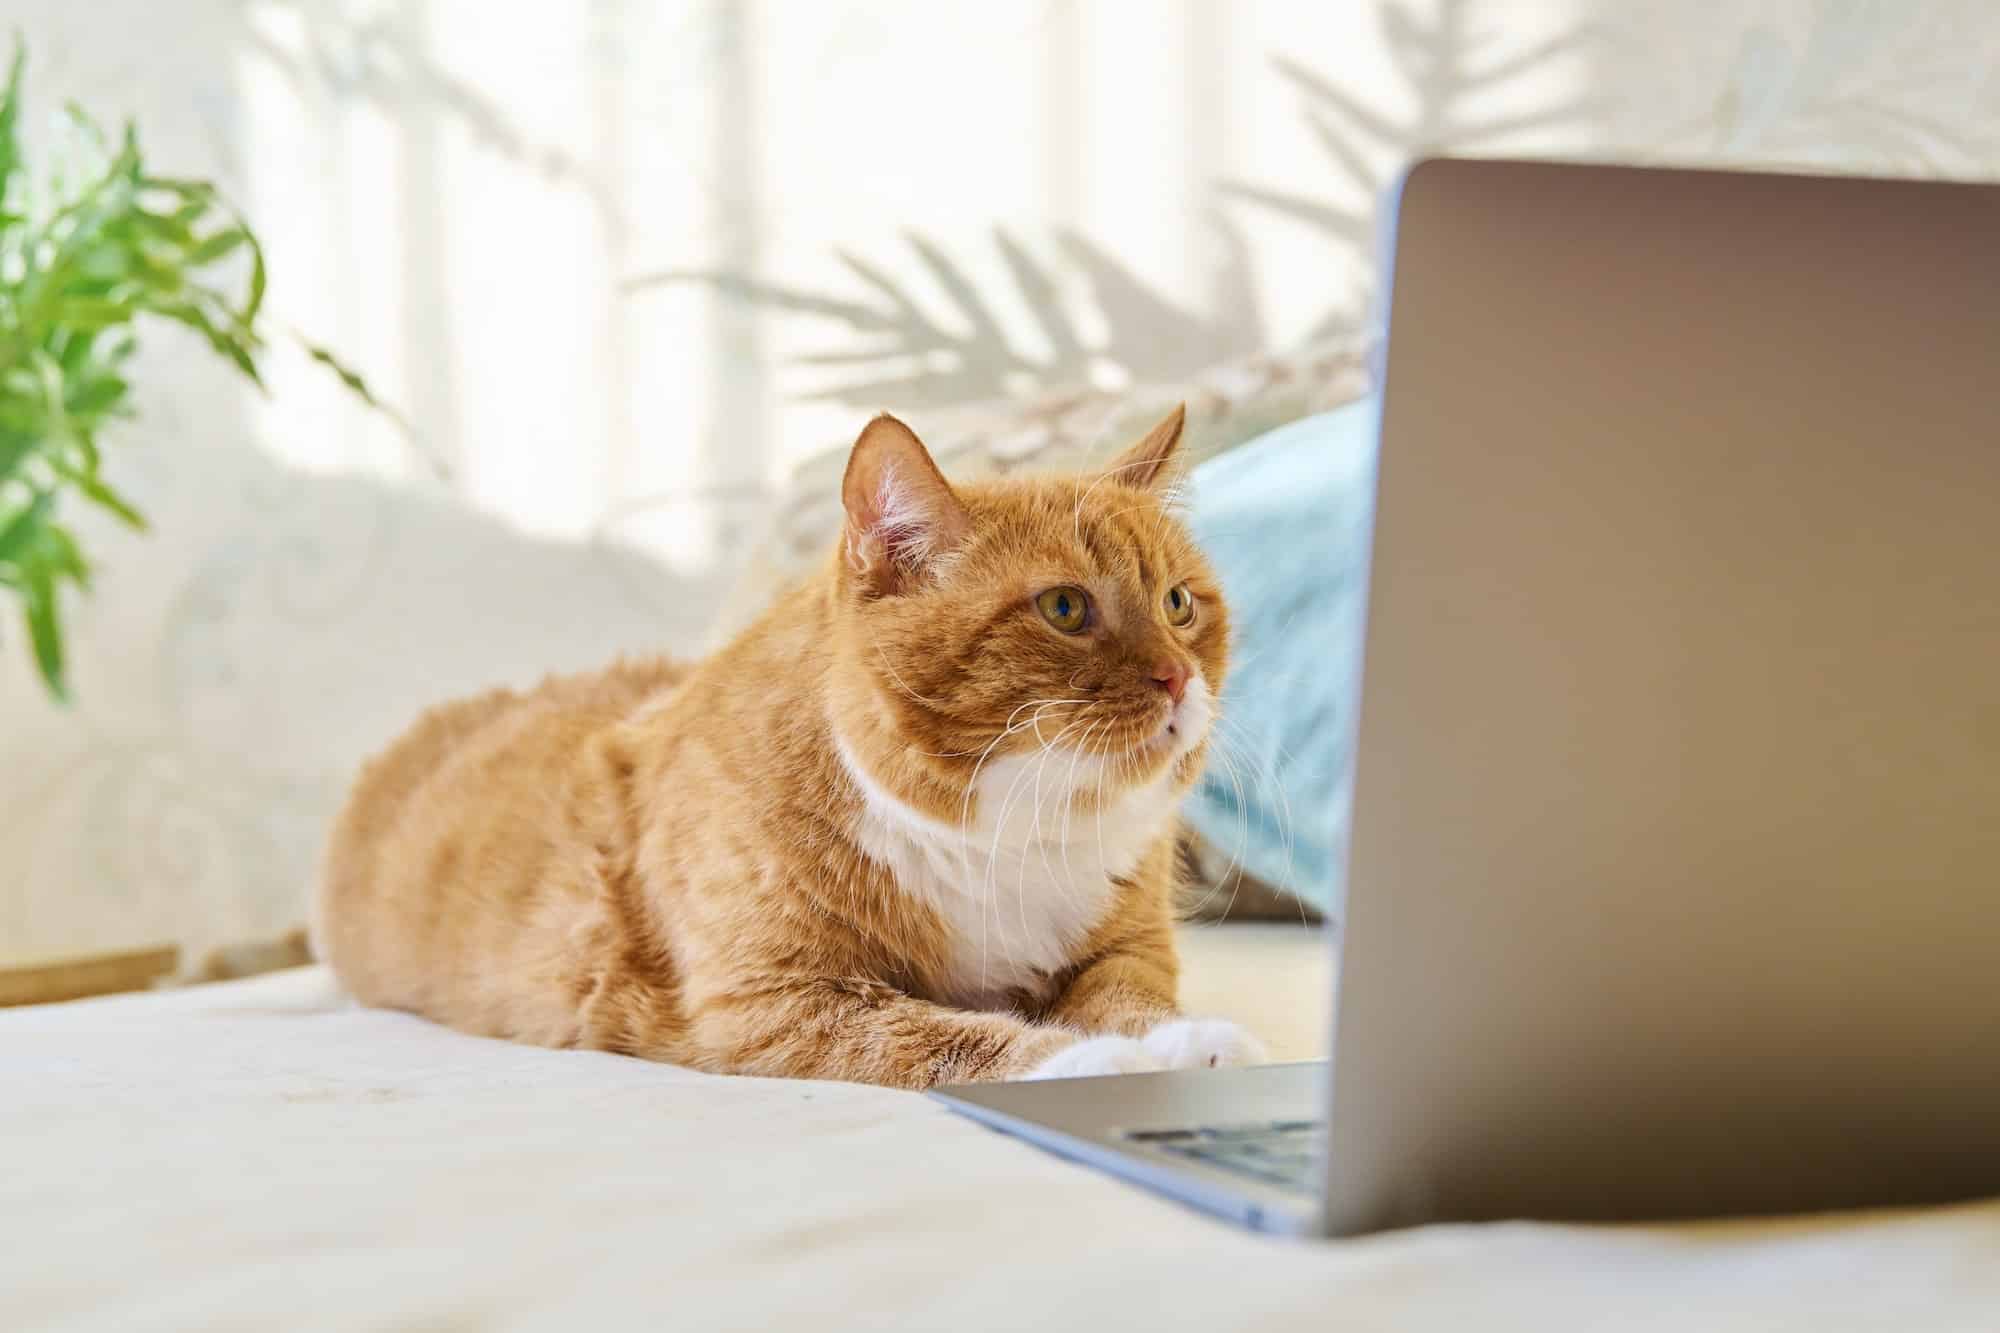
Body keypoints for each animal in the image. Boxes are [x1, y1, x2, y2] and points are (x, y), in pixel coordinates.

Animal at [322, 410, 1272, 1088]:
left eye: (1180, 602)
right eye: (1067, 608)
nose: (1179, 678)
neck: (1004, 833)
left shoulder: (1128, 944)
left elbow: (1126, 995)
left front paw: (1185, 1041)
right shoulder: (775, 1004)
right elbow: (941, 1037)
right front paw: (1090, 1060)